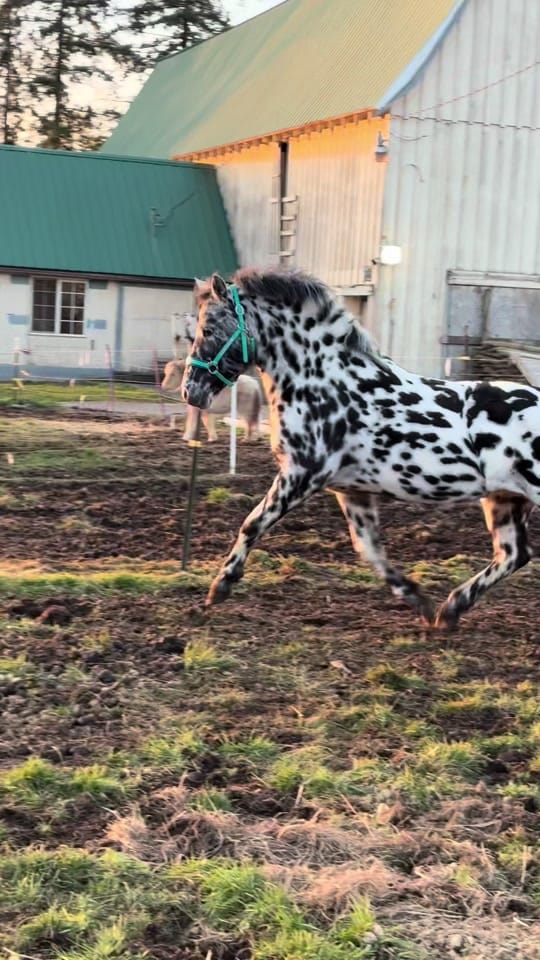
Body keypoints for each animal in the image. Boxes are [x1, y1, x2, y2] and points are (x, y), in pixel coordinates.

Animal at [181, 268, 540, 629]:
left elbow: (253, 523)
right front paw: (420, 602)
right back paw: (450, 610)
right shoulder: (350, 489)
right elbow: (369, 548)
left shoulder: (302, 474)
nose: (190, 391)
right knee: (513, 555)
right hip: (505, 499)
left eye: (207, 329)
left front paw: (221, 586)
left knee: (515, 555)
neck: (322, 380)